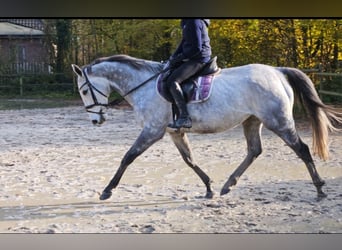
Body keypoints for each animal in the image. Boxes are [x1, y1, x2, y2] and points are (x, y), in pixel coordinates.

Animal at [71, 54, 340, 201]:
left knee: (302, 149)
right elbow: (189, 160)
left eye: (84, 90)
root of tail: (277, 71)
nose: (96, 120)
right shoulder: (174, 132)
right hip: (252, 121)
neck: (143, 84)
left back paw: (319, 189)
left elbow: (128, 157)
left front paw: (107, 190)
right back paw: (227, 185)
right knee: (254, 150)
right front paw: (209, 187)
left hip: (279, 121)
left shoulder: (152, 131)